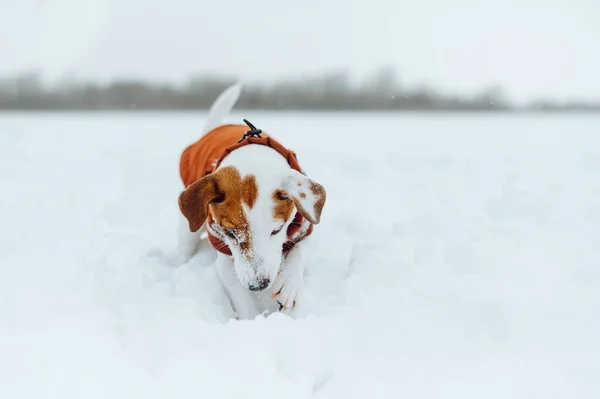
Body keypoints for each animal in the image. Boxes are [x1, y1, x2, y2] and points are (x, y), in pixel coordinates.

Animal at [176, 83, 326, 320]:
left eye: (276, 230)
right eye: (230, 233)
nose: (258, 285)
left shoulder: (305, 223)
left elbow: (300, 251)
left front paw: (289, 284)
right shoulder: (224, 253)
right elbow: (241, 298)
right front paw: (252, 321)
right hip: (188, 228)